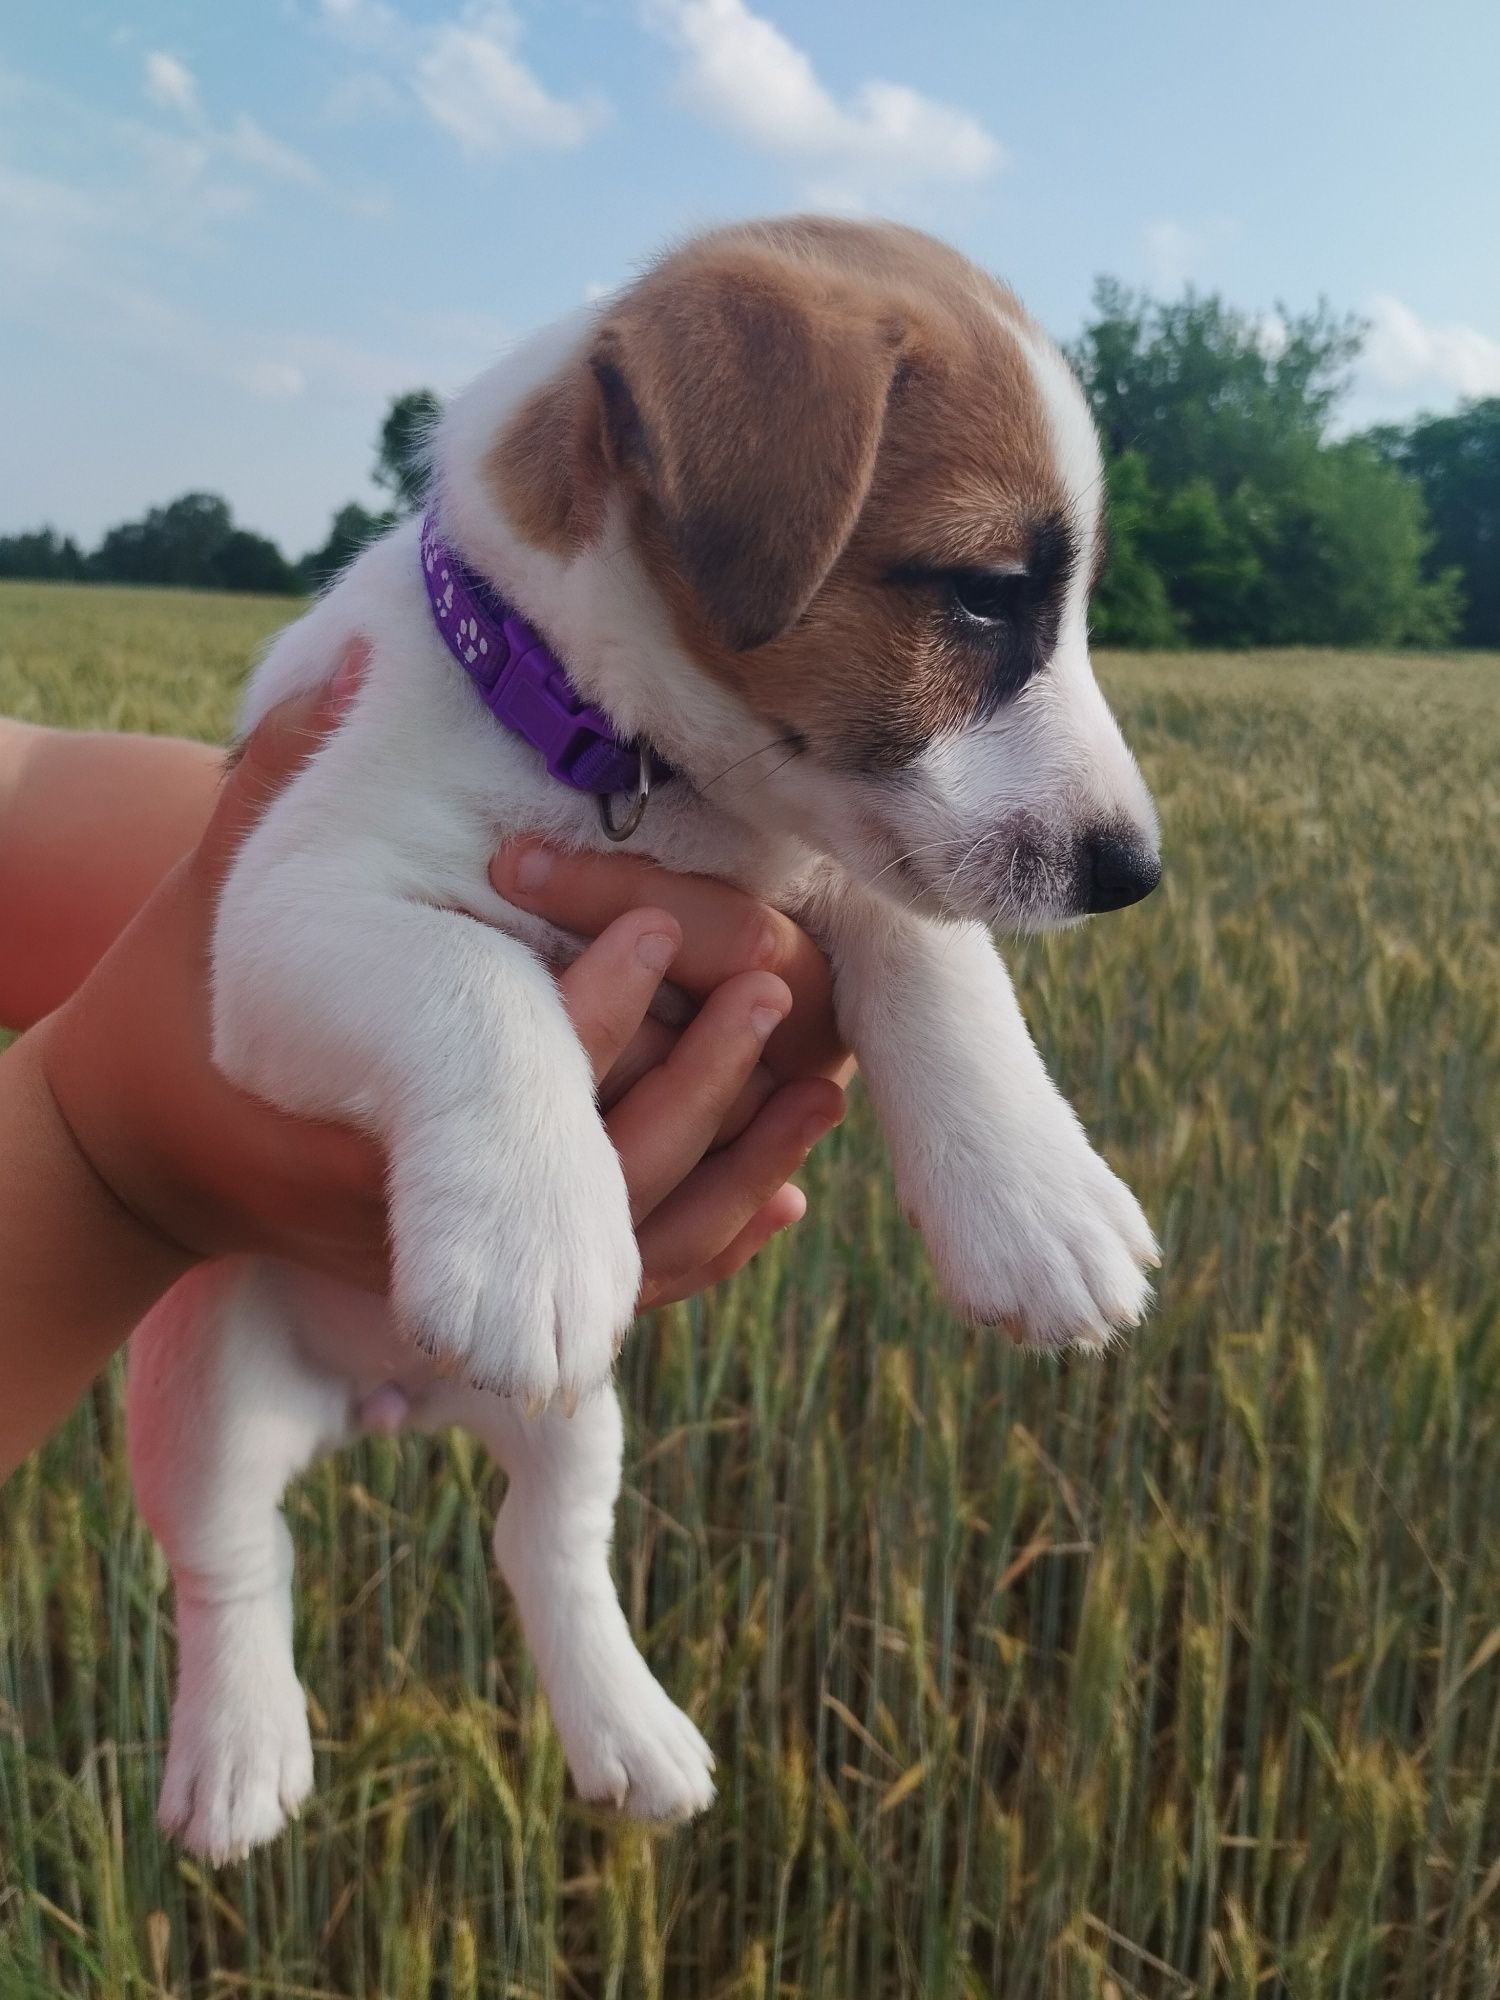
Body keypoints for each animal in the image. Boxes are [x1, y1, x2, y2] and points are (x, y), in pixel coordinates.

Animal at [126, 215, 1160, 1856]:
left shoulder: (833, 876)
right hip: (200, 1379)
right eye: (988, 592)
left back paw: (631, 1734)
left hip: (582, 1417)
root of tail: (380, 1400)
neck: (629, 762)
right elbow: (481, 977)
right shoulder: (278, 917)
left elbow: (941, 962)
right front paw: (536, 1237)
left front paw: (1036, 1204)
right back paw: (236, 1754)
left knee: (544, 1540)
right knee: (233, 1557)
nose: (1136, 872)